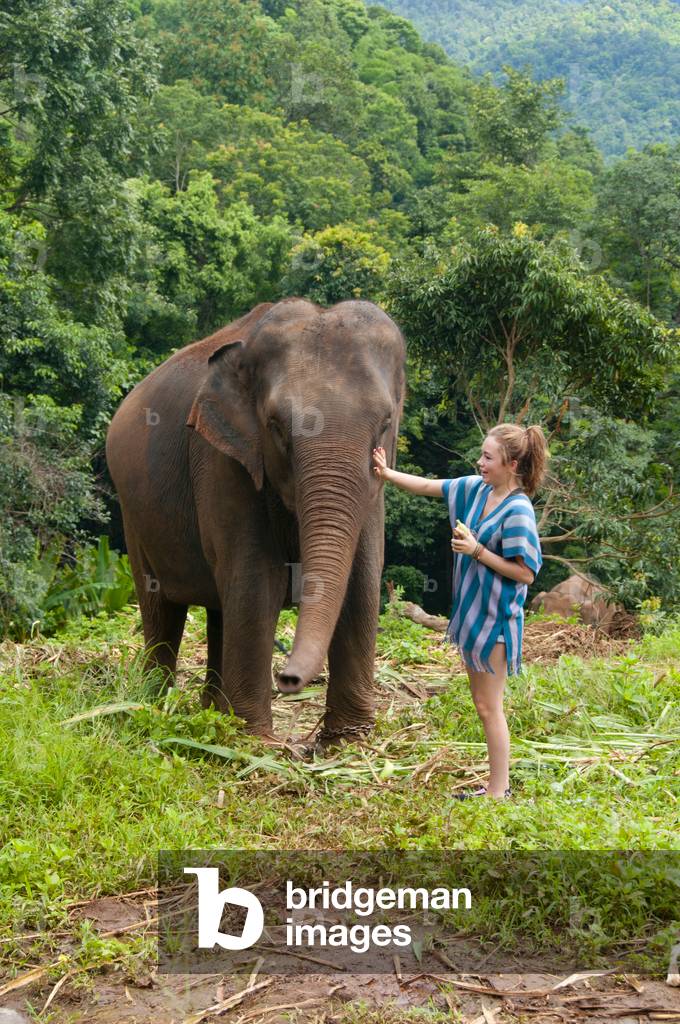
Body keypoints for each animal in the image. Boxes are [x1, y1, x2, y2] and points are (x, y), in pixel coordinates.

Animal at [105, 298, 406, 746]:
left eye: (386, 424)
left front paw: (348, 740)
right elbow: (255, 579)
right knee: (160, 604)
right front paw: (256, 741)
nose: (288, 679)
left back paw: (212, 711)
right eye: (276, 427)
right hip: (133, 514)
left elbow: (362, 578)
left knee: (218, 607)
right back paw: (154, 703)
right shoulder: (221, 460)